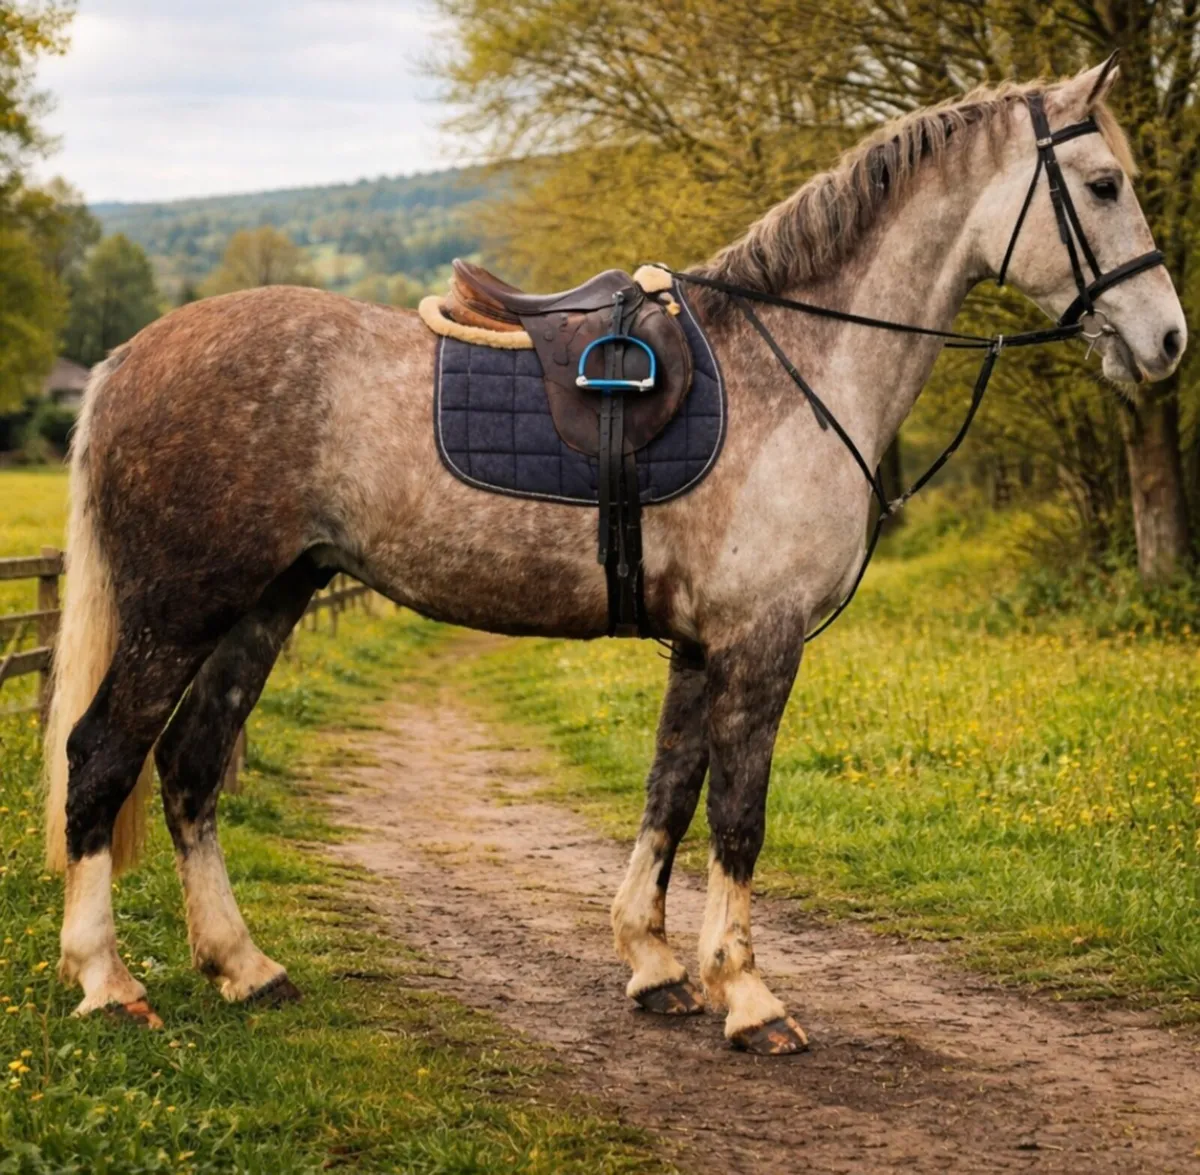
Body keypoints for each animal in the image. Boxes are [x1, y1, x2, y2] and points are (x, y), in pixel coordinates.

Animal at [46, 61, 1185, 1054]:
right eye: (1104, 184)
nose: (1168, 339)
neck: (797, 372)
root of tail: (127, 358)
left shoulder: (700, 646)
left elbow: (668, 794)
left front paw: (655, 963)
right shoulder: (759, 643)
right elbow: (738, 815)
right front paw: (750, 998)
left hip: (267, 601)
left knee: (190, 767)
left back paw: (244, 966)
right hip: (179, 609)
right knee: (102, 756)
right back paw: (109, 982)